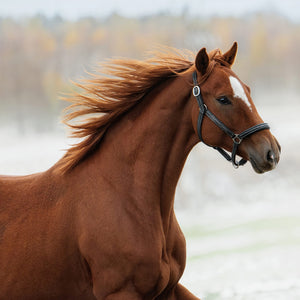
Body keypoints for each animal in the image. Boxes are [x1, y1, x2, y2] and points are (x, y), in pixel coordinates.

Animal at [0, 42, 282, 300]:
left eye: (247, 90)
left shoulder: (169, 289)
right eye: (223, 98)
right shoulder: (122, 293)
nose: (271, 153)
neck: (127, 196)